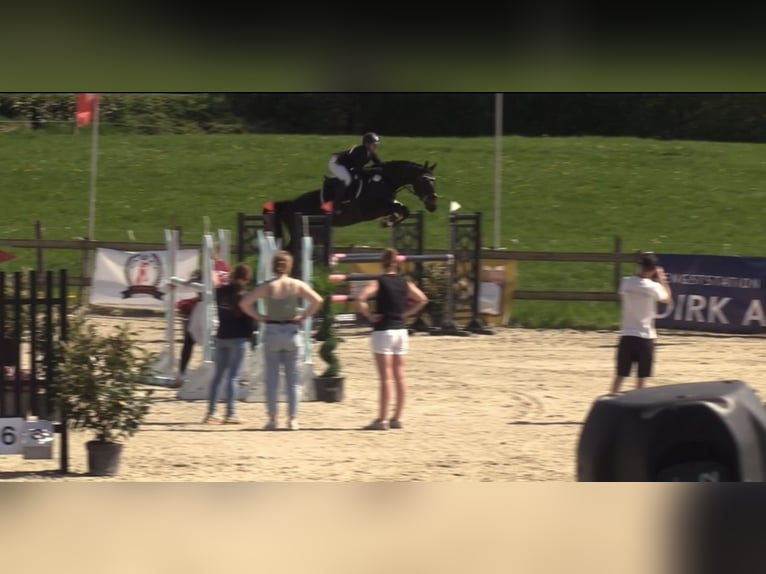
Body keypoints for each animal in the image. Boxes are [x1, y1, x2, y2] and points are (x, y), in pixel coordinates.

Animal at [262, 162, 438, 252]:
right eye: (424, 180)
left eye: (433, 180)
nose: (433, 205)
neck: (385, 180)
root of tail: (290, 204)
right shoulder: (374, 208)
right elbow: (398, 209)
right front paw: (386, 222)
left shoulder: (387, 204)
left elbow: (404, 210)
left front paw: (388, 221)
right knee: (288, 250)